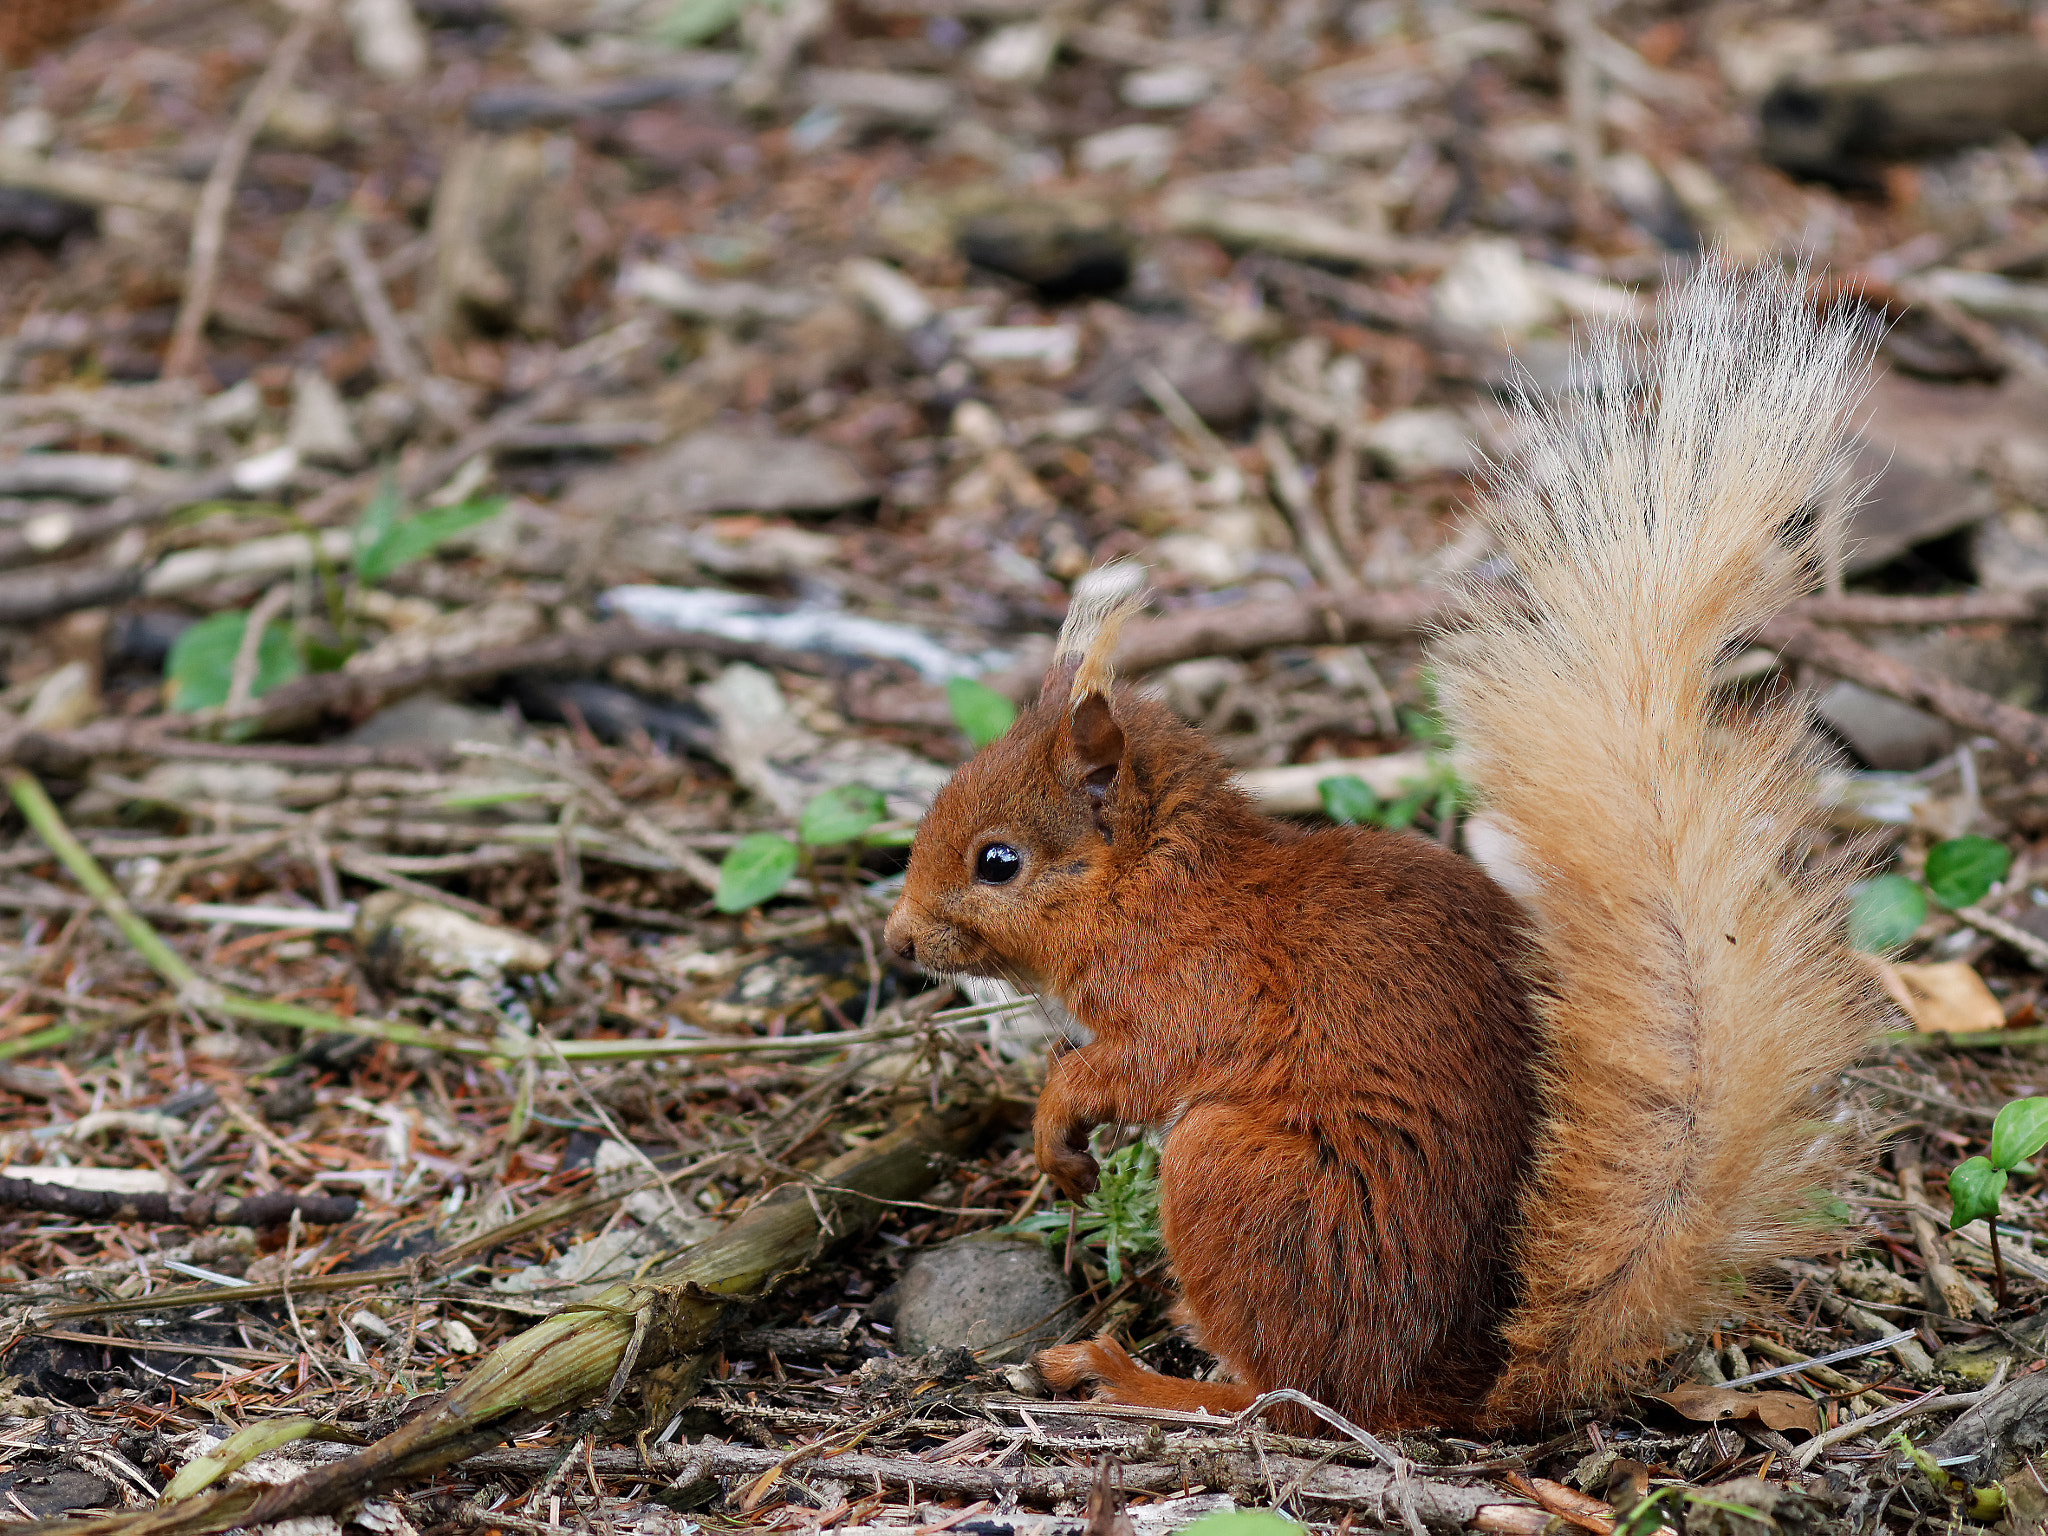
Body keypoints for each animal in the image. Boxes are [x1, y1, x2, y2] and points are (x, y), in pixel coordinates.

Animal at [880, 264, 1884, 1433]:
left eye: (998, 862)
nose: (899, 941)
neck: (1160, 891)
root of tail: (1461, 1388)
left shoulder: (1197, 991)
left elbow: (1127, 1067)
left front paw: (1055, 1125)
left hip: (1235, 1175)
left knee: (1285, 1396)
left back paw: (1133, 1376)